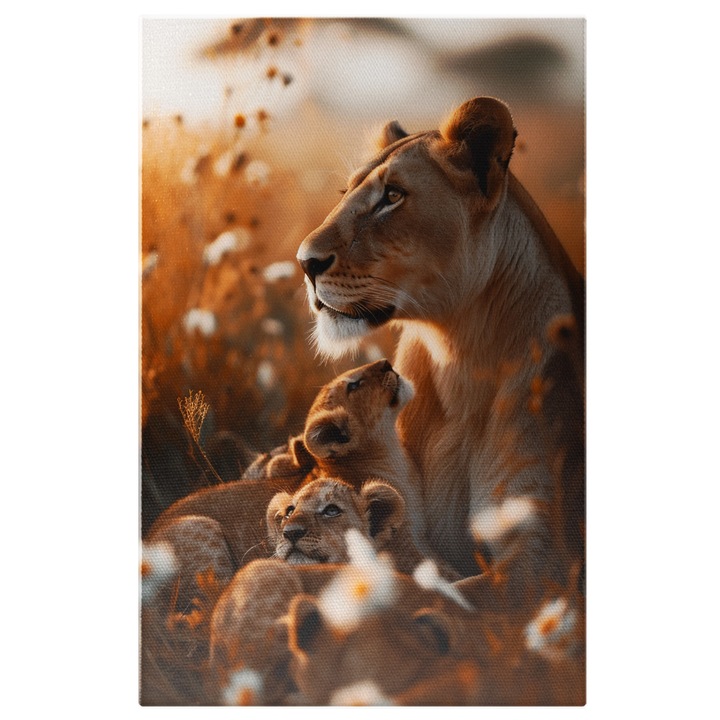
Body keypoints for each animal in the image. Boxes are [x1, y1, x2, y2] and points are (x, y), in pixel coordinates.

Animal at [296, 96, 586, 603]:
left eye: (392, 196)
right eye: (344, 192)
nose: (304, 262)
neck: (457, 357)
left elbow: (446, 591)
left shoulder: (541, 556)